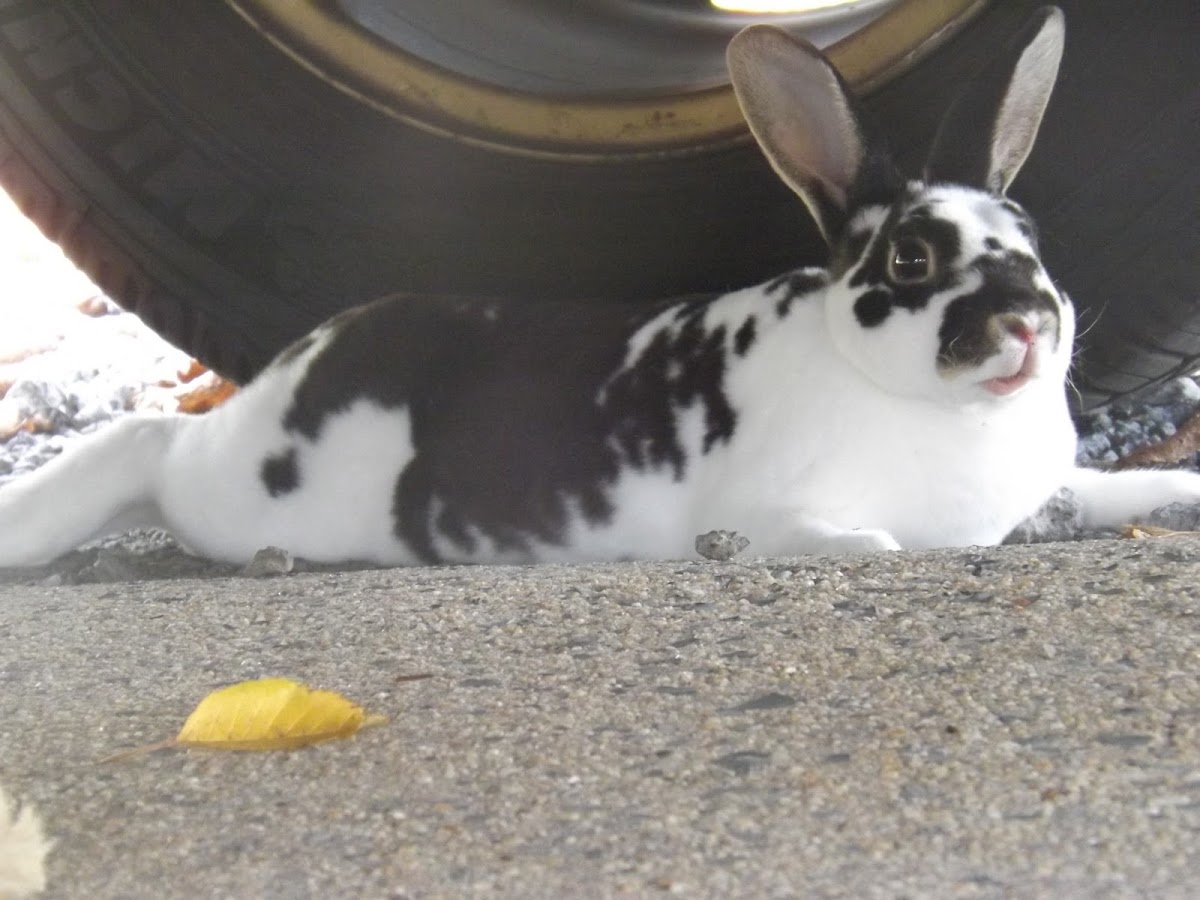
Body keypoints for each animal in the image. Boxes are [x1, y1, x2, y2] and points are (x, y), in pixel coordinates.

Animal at [2, 5, 1200, 571]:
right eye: (910, 260)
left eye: (1031, 239)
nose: (1027, 326)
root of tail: (299, 366)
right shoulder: (771, 506)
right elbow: (832, 538)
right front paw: (854, 549)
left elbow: (1104, 495)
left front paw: (1179, 496)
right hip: (235, 485)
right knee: (147, 443)